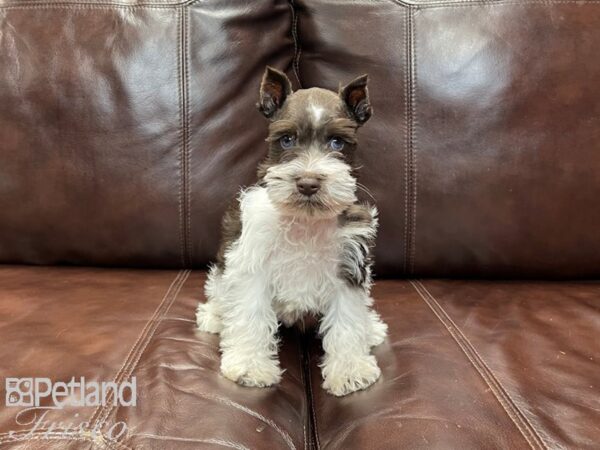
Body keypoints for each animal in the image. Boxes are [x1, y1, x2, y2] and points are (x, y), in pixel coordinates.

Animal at [195, 65, 386, 396]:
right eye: (286, 140)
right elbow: (249, 315)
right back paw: (214, 316)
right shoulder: (251, 266)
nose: (308, 183)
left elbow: (348, 320)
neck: (305, 219)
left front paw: (350, 371)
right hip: (222, 272)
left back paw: (371, 327)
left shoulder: (348, 268)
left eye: (337, 142)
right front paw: (250, 366)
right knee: (219, 293)